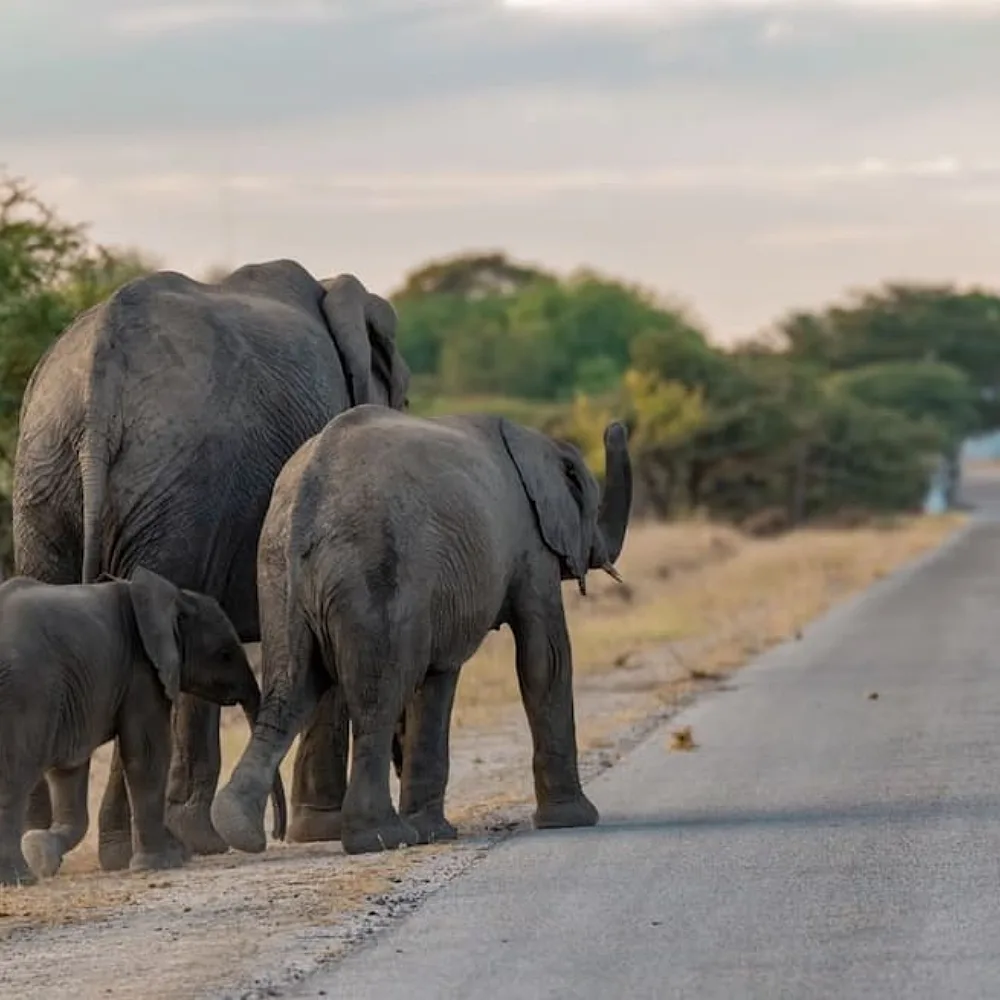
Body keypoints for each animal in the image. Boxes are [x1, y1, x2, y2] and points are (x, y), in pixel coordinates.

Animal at [0, 567, 285, 887]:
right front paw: (162, 864)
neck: (173, 596)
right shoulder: (142, 671)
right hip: (23, 695)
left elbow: (70, 769)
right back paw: (18, 878)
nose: (274, 837)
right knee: (13, 780)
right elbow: (147, 754)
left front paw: (40, 850)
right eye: (225, 654)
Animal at [211, 404, 632, 857]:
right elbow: (544, 658)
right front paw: (572, 821)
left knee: (290, 693)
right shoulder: (532, 546)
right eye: (589, 502)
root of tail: (309, 494)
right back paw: (381, 837)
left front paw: (434, 832)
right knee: (377, 700)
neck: (539, 442)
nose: (615, 425)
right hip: (376, 574)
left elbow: (438, 680)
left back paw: (237, 828)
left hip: (278, 579)